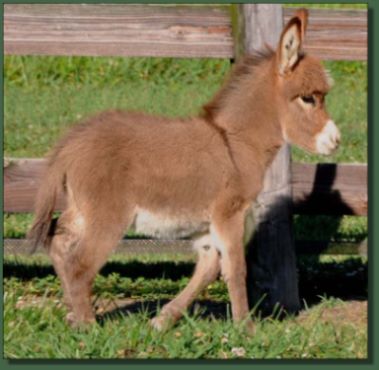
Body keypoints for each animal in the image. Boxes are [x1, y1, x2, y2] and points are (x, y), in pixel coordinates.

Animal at [28, 9, 340, 332]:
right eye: (308, 98)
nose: (336, 141)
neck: (235, 142)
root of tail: (70, 143)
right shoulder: (230, 213)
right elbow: (235, 269)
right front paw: (246, 328)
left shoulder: (206, 225)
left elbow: (208, 269)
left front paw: (163, 320)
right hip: (107, 216)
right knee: (80, 265)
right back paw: (88, 328)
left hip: (81, 210)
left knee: (58, 243)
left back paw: (73, 315)